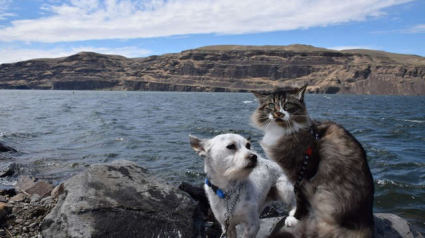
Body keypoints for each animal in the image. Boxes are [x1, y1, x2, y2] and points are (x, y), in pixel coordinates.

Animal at [250, 84, 372, 237]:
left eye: (287, 105)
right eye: (271, 105)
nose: (278, 114)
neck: (284, 131)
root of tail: (367, 223)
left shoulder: (304, 172)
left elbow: (300, 198)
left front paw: (296, 218)